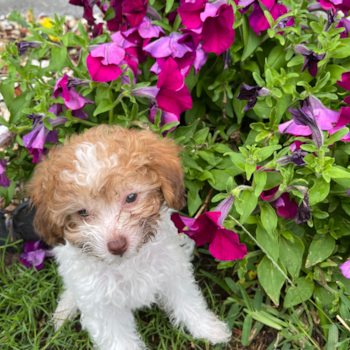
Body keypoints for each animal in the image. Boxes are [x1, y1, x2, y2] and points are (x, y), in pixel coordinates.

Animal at [26, 126, 230, 350]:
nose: (117, 245)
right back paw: (64, 311)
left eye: (131, 198)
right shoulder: (102, 307)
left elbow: (187, 300)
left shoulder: (172, 271)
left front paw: (208, 328)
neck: (127, 263)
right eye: (82, 212)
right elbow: (118, 340)